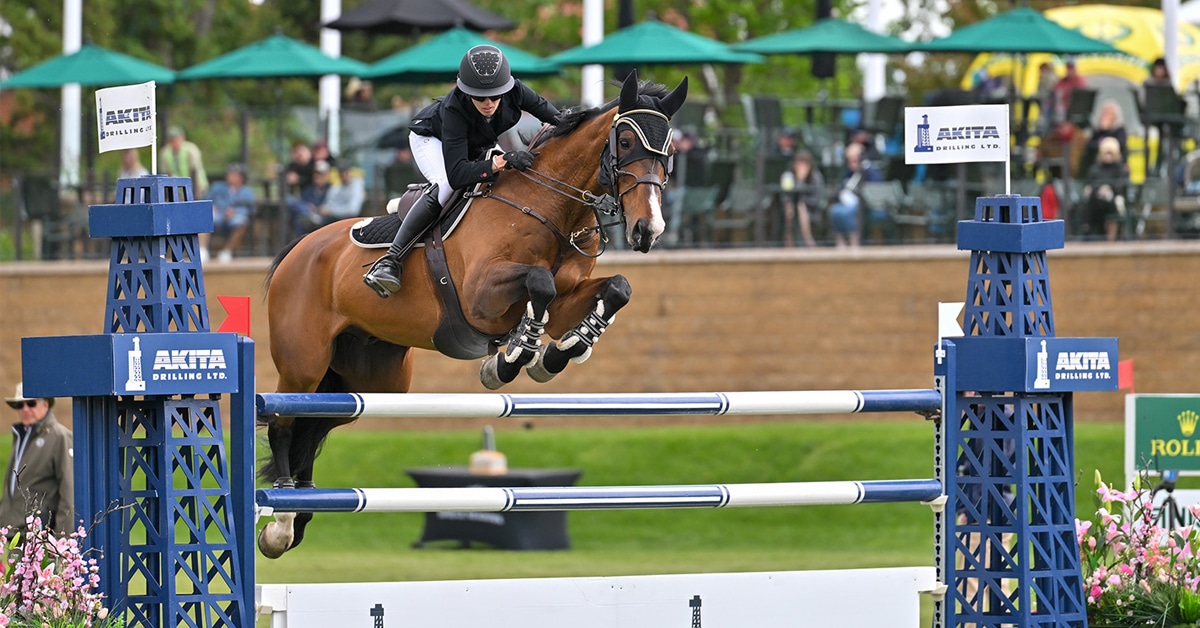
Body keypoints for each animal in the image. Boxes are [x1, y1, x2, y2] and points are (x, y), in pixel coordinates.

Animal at [256, 71, 688, 558]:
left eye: (669, 149)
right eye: (627, 142)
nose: (648, 230)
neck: (553, 205)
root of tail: (299, 248)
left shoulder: (565, 300)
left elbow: (616, 288)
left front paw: (556, 355)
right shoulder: (481, 295)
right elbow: (539, 282)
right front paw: (511, 359)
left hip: (371, 380)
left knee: (316, 422)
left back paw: (303, 510)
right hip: (303, 363)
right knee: (285, 421)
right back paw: (281, 522)